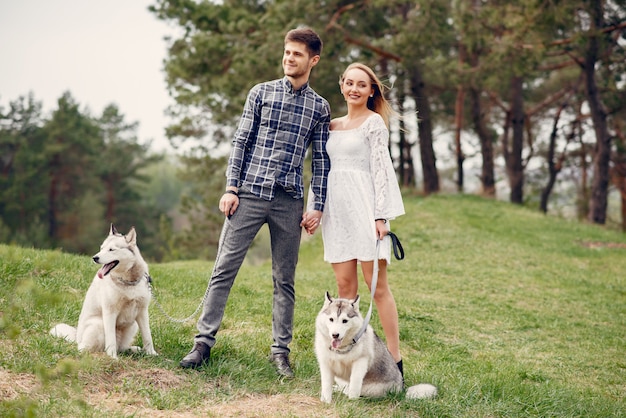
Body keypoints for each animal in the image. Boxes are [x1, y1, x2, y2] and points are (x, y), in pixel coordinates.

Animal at [51, 225, 158, 360]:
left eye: (111, 249)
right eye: (101, 248)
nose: (94, 258)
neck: (128, 282)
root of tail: (77, 337)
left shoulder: (142, 312)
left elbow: (148, 336)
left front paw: (151, 353)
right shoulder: (109, 312)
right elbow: (111, 340)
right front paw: (112, 357)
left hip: (133, 325)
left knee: (121, 347)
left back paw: (134, 349)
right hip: (99, 324)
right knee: (83, 348)